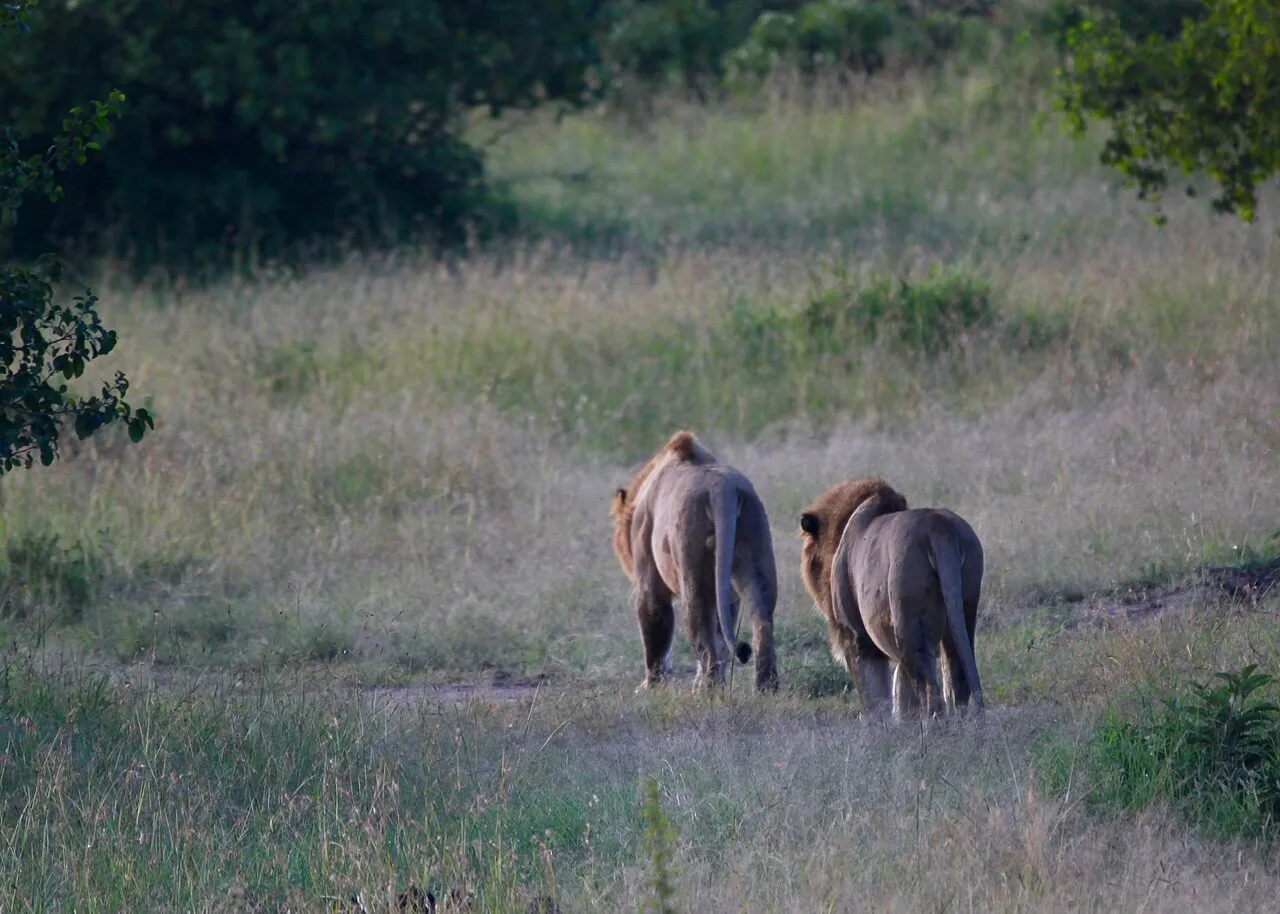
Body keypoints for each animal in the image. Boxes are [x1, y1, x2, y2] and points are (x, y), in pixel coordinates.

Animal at [611, 431, 779, 692]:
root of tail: (722, 489)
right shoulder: (729, 596)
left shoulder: (649, 580)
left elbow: (654, 626)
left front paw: (650, 686)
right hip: (756, 556)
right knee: (760, 624)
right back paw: (765, 688)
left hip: (693, 574)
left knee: (705, 643)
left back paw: (706, 691)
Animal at [799, 478, 983, 718]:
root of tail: (938, 528)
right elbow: (902, 693)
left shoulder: (856, 637)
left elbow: (875, 696)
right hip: (963, 609)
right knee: (955, 677)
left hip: (911, 625)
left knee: (929, 690)